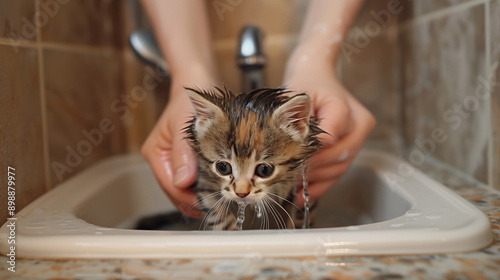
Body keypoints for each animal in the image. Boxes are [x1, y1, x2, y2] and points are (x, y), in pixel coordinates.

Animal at [186, 87, 322, 230]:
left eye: (264, 170)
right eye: (223, 167)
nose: (241, 194)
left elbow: (302, 215)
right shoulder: (205, 180)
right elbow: (219, 218)